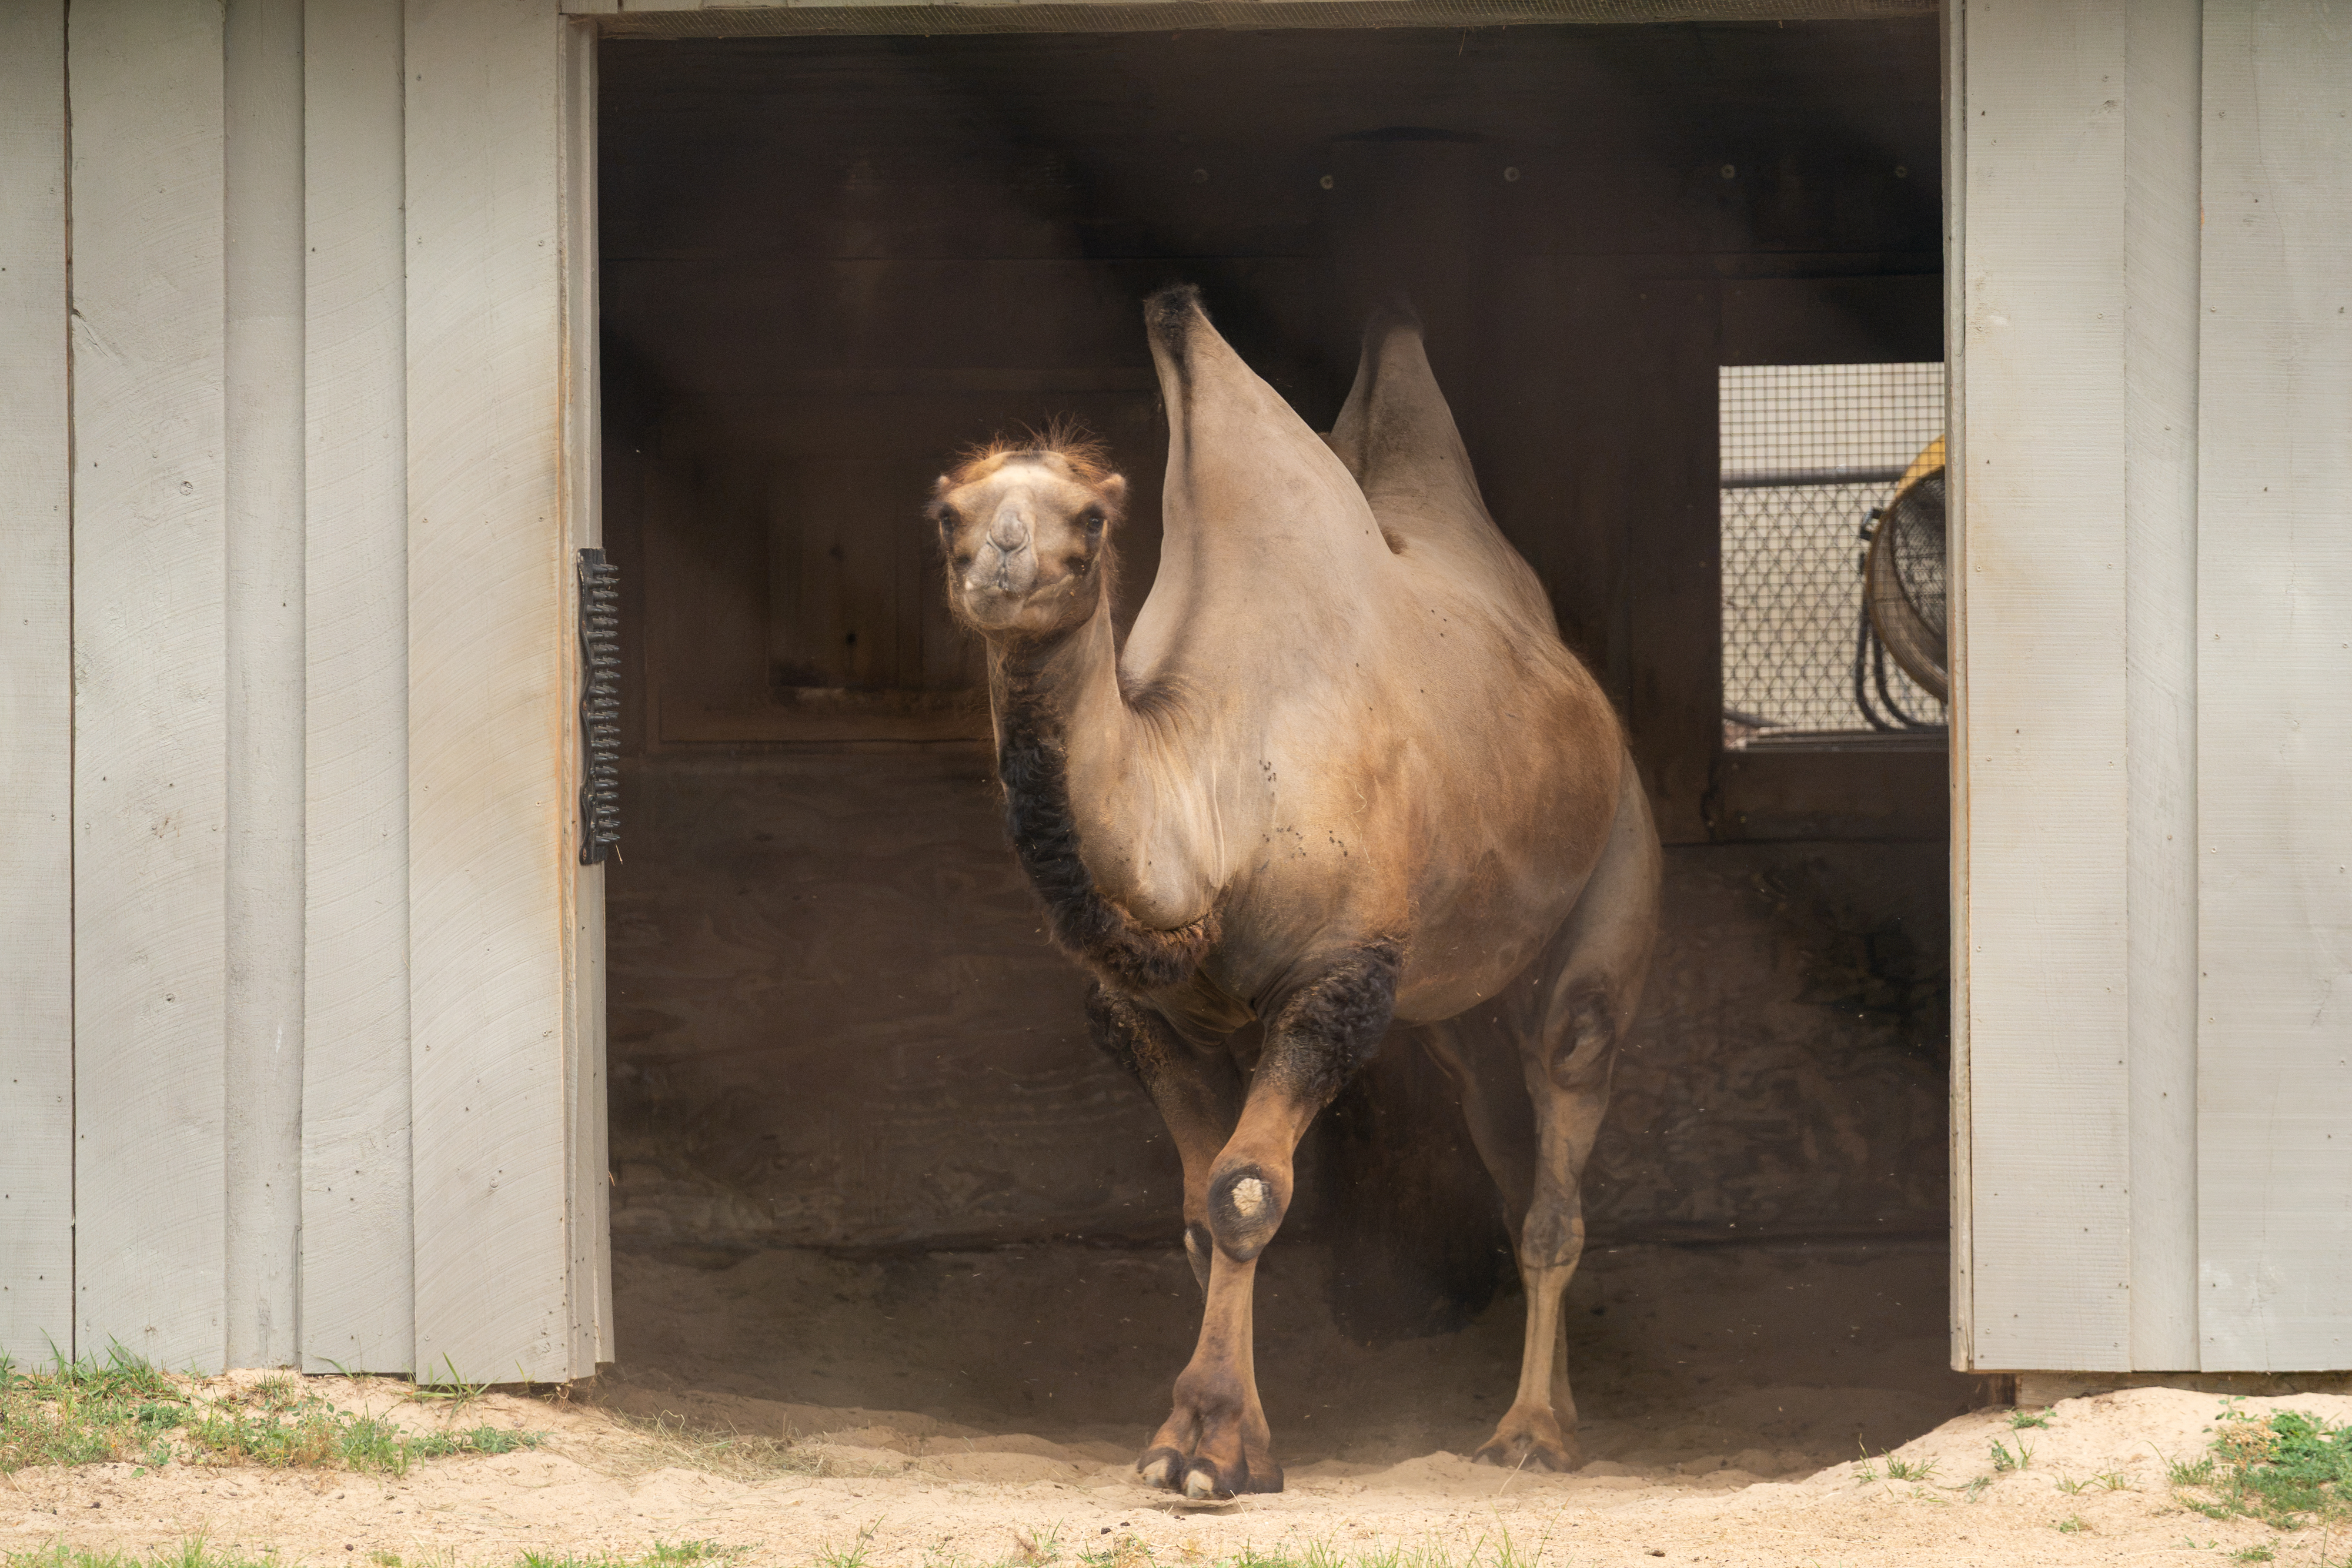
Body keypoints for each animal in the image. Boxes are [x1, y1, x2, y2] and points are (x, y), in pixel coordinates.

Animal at [926, 286, 1661, 1500]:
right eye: (951, 511)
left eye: (1090, 519)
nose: (1000, 570)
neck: (1214, 780)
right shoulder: (1147, 1011)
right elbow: (1195, 1212)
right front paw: (1235, 1441)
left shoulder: (1339, 976)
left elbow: (1244, 1192)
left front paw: (1206, 1447)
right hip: (1455, 995)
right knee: (1502, 1138)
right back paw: (1561, 1407)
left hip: (1615, 872)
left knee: (1567, 1100)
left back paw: (1529, 1434)